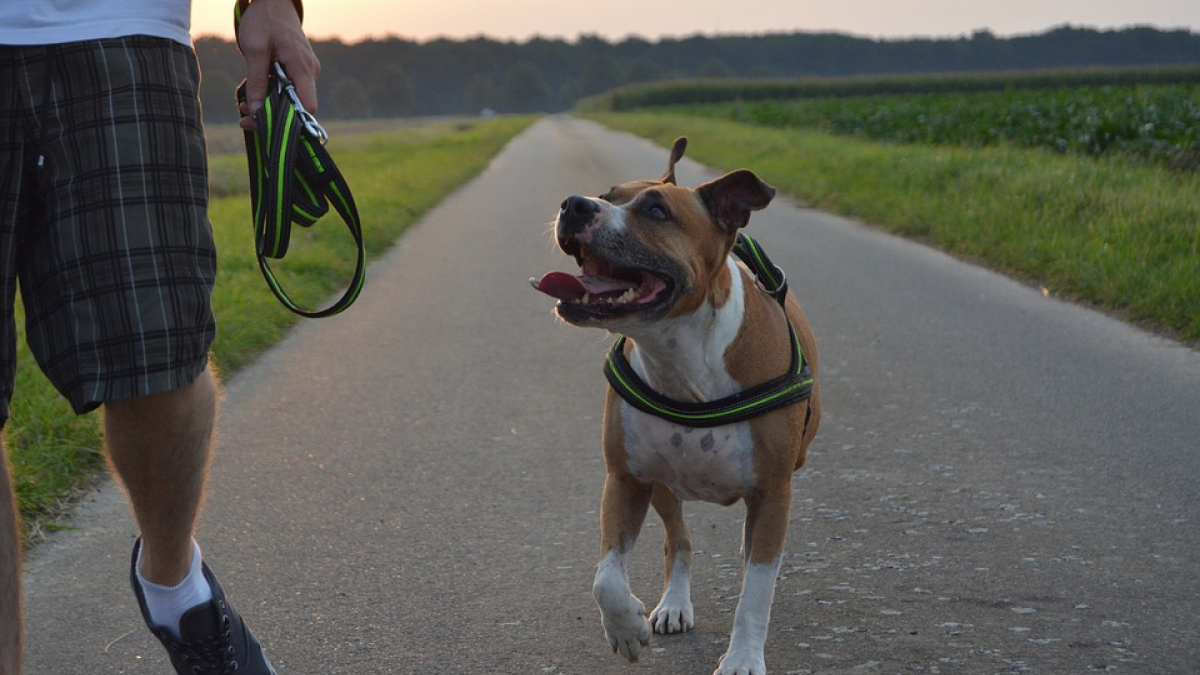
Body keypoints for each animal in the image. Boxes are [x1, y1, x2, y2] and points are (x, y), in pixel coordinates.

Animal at [532, 138, 820, 672]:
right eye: (606, 194)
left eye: (656, 210)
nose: (575, 204)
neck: (681, 357)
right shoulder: (626, 479)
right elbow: (606, 577)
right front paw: (626, 628)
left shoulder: (773, 494)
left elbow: (757, 589)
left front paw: (743, 657)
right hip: (665, 485)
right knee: (678, 540)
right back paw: (673, 605)